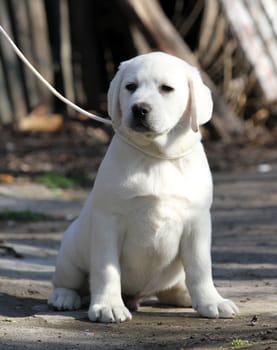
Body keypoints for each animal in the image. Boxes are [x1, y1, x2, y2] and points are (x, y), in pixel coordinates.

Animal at [47, 51, 237, 322]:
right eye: (131, 87)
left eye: (166, 88)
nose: (139, 109)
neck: (157, 155)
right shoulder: (109, 221)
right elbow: (106, 269)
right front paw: (108, 305)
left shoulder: (197, 221)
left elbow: (200, 267)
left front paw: (212, 301)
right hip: (71, 251)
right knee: (68, 281)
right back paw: (64, 297)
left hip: (173, 273)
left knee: (173, 287)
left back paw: (186, 296)